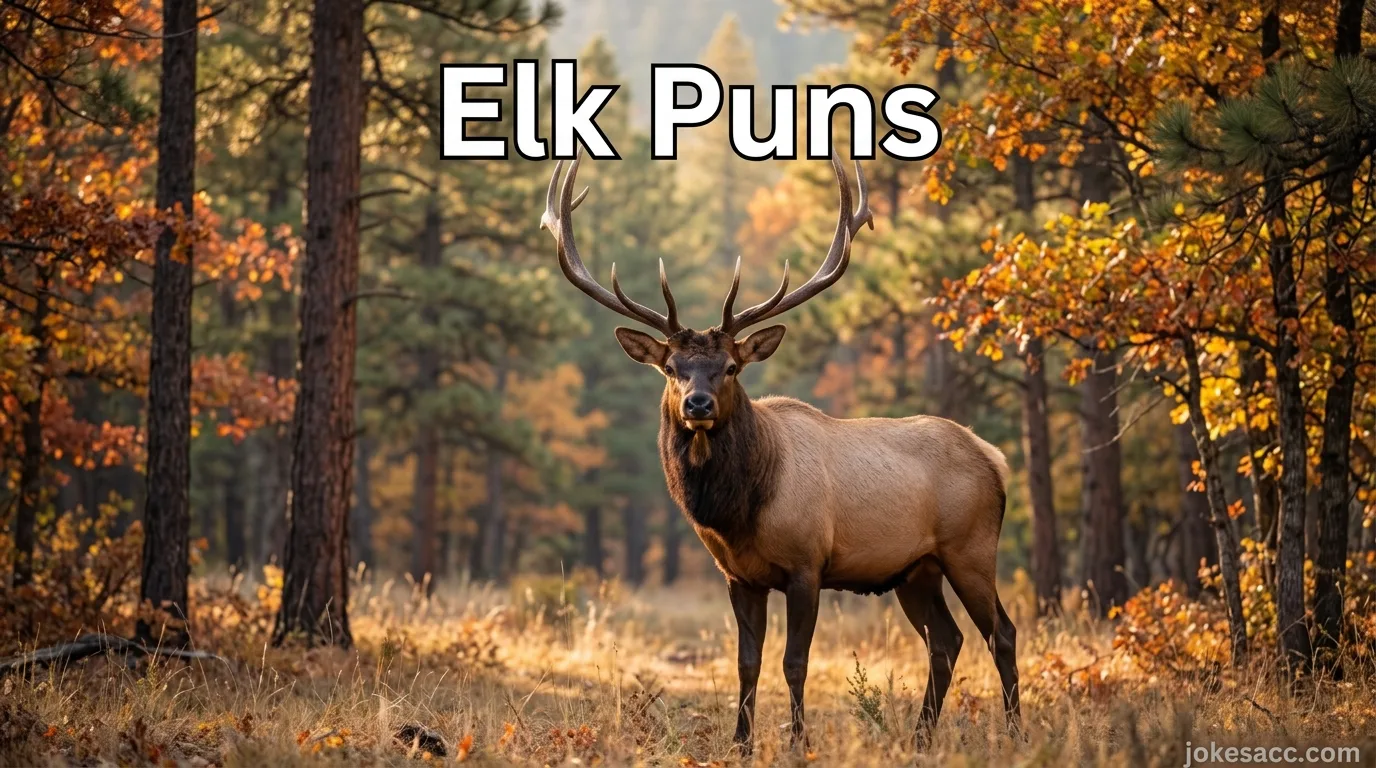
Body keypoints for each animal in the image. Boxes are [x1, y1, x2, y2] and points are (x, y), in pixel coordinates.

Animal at [539, 149, 1019, 752]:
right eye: (671, 368)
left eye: (730, 367)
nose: (697, 404)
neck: (739, 512)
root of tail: (994, 459)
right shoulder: (739, 577)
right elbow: (747, 663)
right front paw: (740, 745)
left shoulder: (806, 565)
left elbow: (795, 662)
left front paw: (797, 744)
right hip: (916, 569)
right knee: (946, 641)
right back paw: (919, 739)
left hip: (971, 547)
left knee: (1001, 633)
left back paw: (1016, 733)